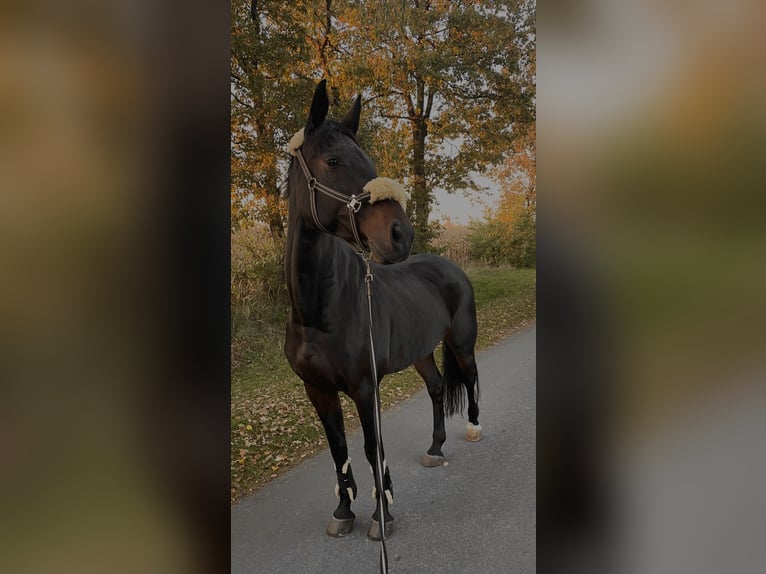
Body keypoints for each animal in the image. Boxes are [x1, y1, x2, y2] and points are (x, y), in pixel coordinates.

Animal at [284, 79, 482, 541]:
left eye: (370, 162)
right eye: (333, 160)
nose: (400, 234)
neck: (319, 313)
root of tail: (451, 267)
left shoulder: (364, 387)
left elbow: (373, 448)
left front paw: (382, 513)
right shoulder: (317, 390)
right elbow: (338, 448)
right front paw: (343, 511)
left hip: (462, 343)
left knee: (471, 378)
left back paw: (472, 429)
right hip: (422, 352)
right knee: (437, 387)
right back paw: (434, 448)